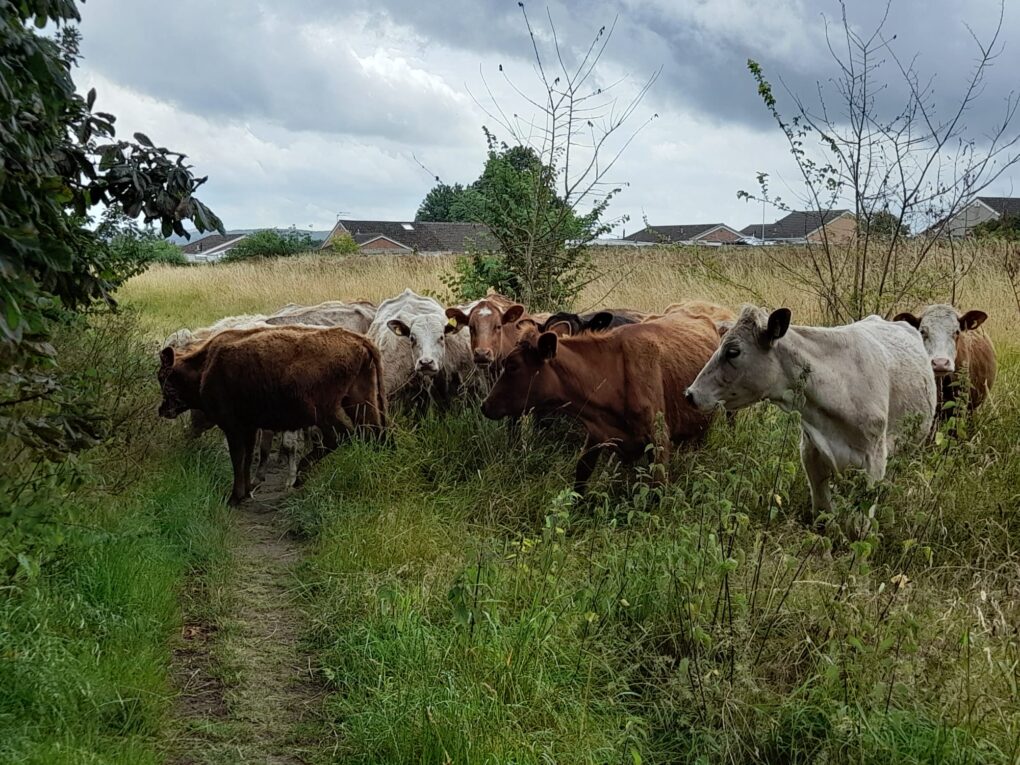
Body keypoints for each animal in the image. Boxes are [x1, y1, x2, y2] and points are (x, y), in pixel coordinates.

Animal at [159, 326, 385, 505]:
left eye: (163, 377)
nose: (162, 410)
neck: (205, 366)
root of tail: (358, 340)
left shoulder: (233, 426)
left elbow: (237, 458)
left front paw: (234, 497)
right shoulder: (249, 427)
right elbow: (247, 457)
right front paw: (247, 491)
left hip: (324, 412)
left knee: (341, 436)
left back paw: (301, 473)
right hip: (361, 403)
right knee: (373, 434)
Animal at [481, 314, 722, 493]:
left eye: (512, 365)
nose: (485, 405)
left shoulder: (659, 438)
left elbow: (656, 489)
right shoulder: (597, 432)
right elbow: (582, 471)